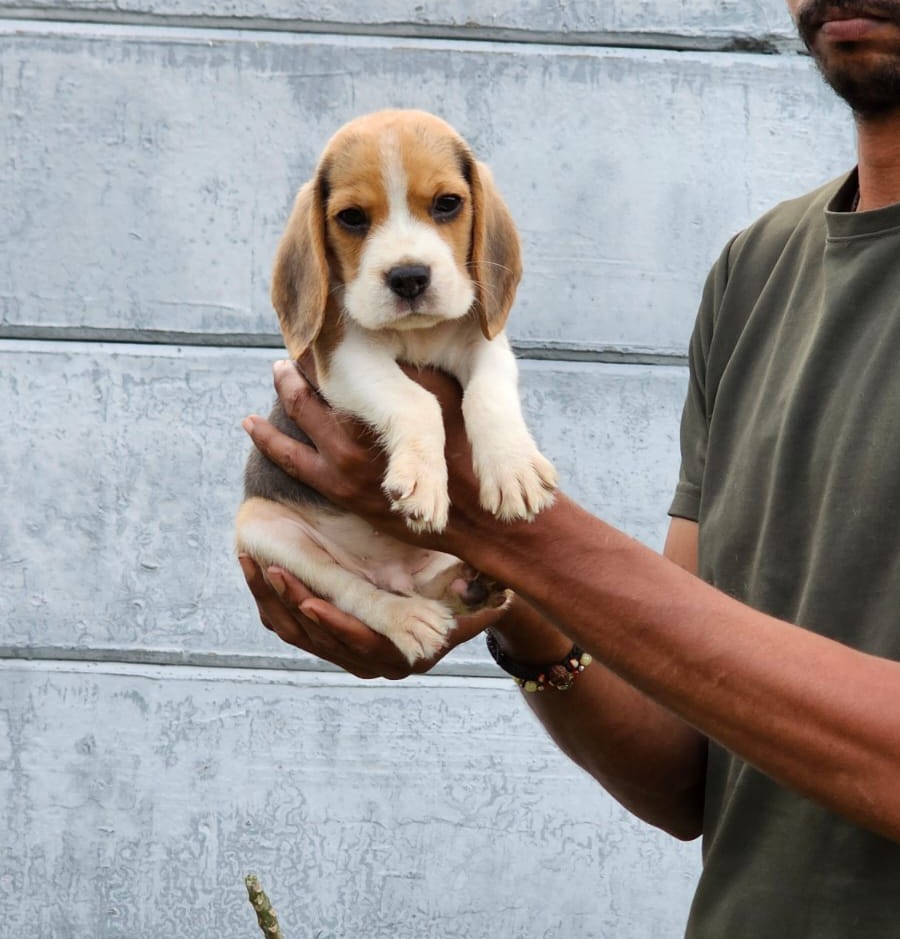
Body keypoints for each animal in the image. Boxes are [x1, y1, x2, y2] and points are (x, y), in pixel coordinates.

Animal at [236, 110, 556, 664]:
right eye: (351, 218)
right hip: (263, 528)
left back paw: (469, 587)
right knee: (352, 588)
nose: (408, 277)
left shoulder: (483, 341)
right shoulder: (344, 357)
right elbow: (415, 397)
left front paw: (513, 469)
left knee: (428, 584)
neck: (417, 334)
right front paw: (424, 479)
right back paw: (408, 618)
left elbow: (489, 392)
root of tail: (392, 573)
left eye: (447, 204)